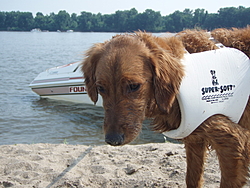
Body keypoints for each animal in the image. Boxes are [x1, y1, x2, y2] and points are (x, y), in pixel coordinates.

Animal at [81, 27, 249, 188]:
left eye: (134, 86)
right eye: (101, 88)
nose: (113, 140)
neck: (177, 92)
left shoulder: (232, 142)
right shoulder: (195, 139)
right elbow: (192, 180)